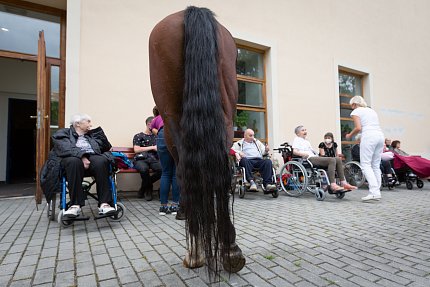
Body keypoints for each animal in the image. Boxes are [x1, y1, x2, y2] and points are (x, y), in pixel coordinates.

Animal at [149, 6, 245, 274]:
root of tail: (190, 12)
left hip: (174, 119)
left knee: (186, 173)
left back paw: (196, 251)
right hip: (224, 114)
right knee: (220, 172)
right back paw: (230, 251)